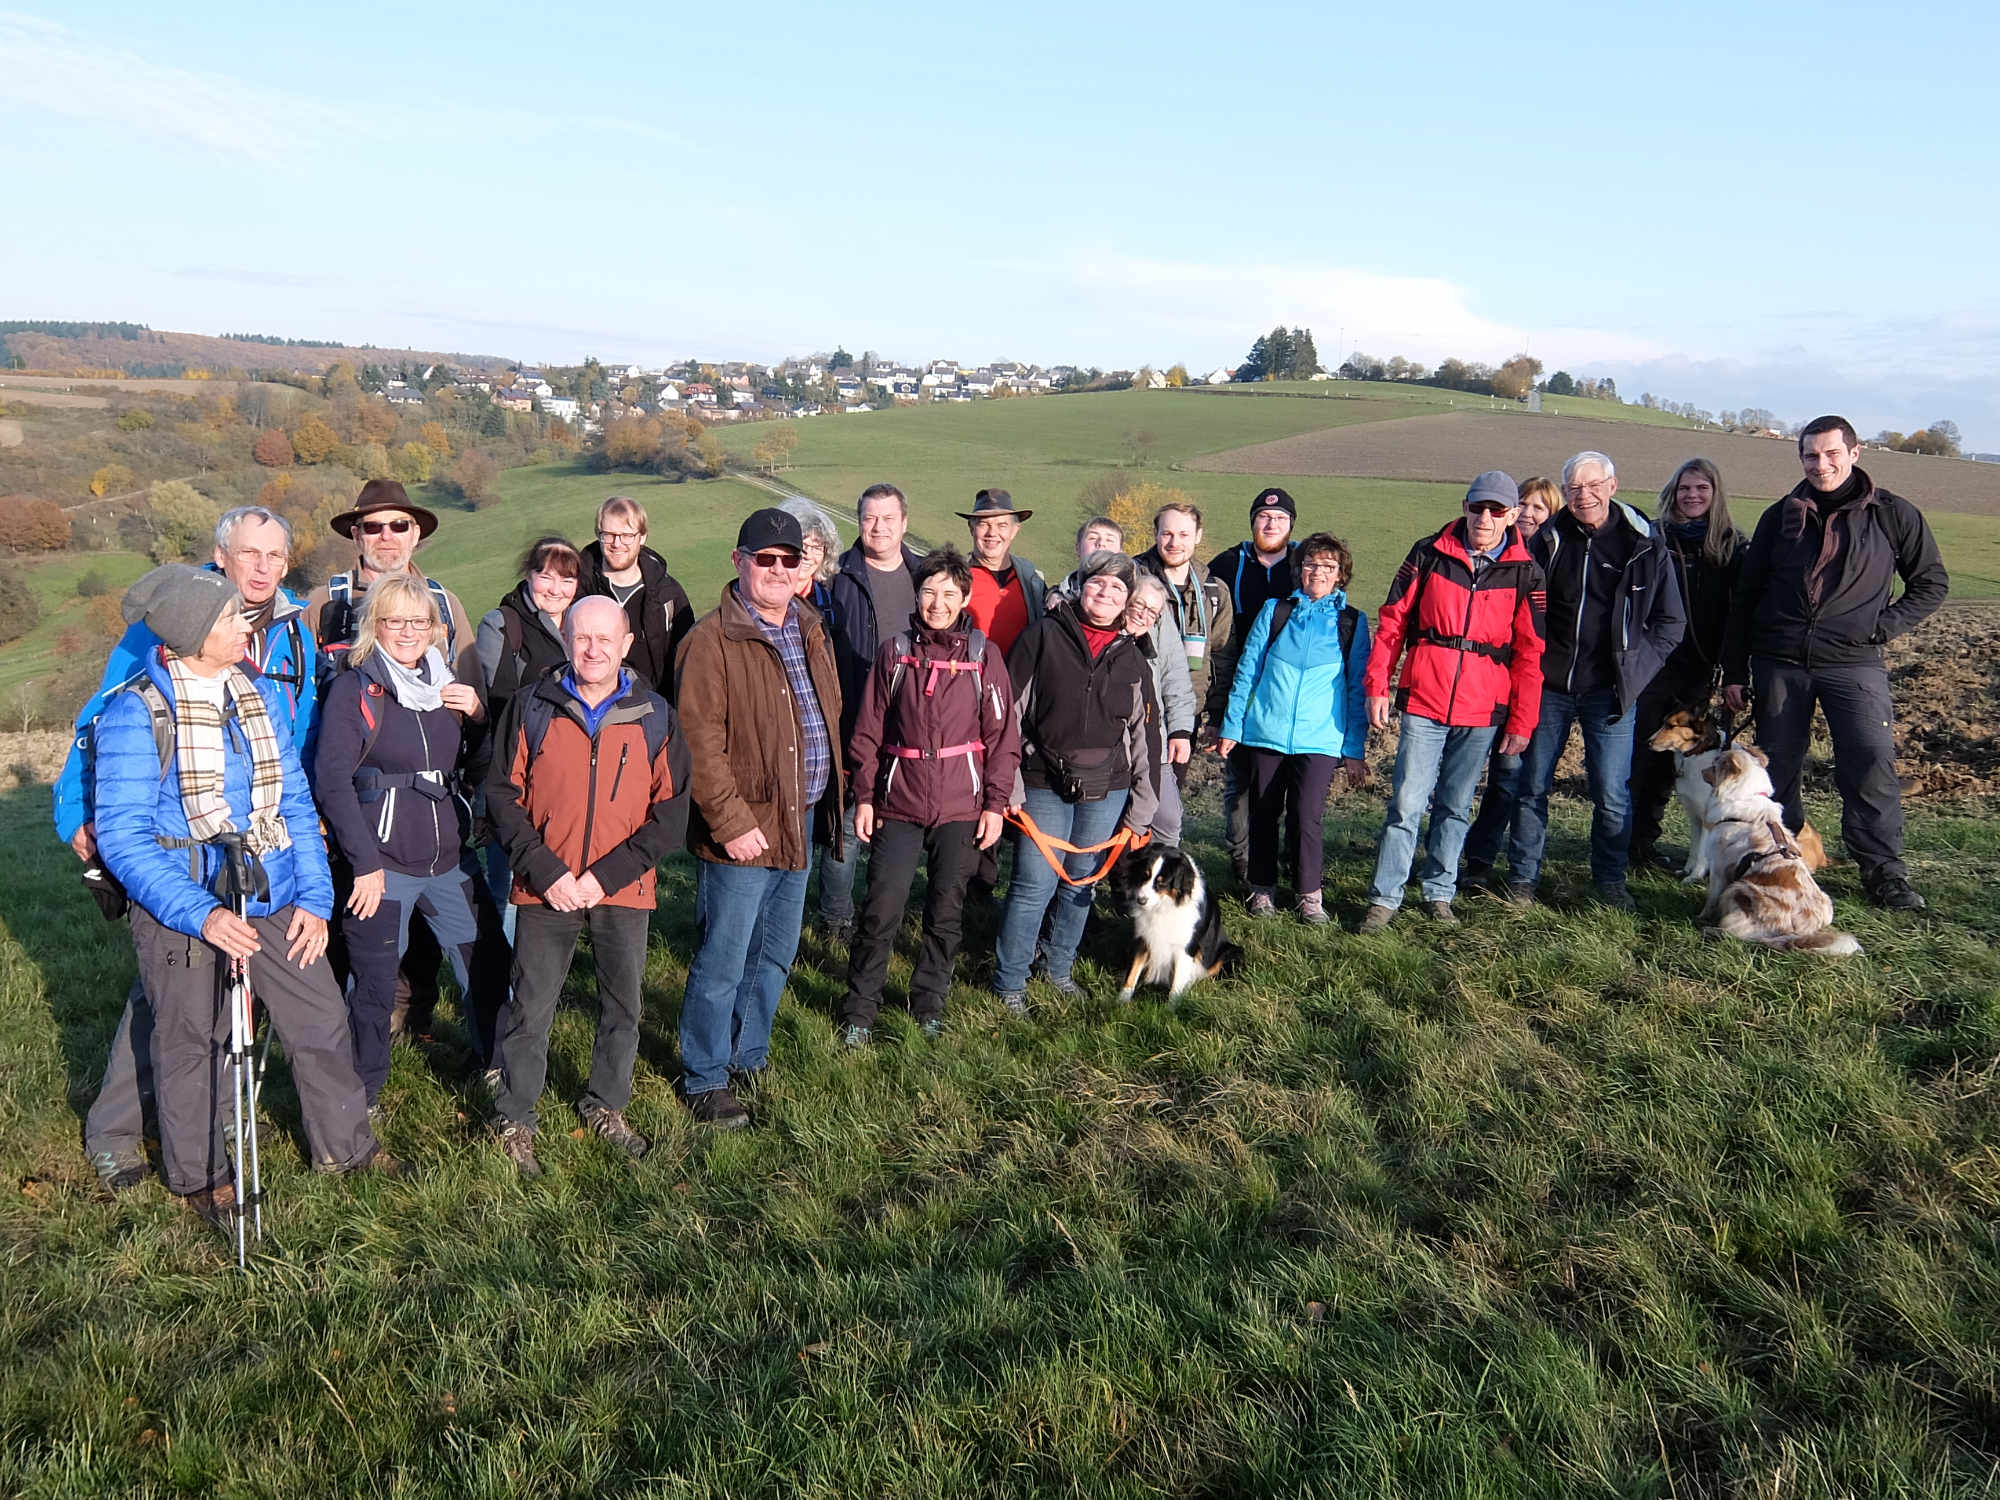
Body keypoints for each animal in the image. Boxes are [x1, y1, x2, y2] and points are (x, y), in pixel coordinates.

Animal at [1104, 852, 1240, 1004]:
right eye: (1145, 875)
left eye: (1162, 882)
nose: (1141, 901)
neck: (1165, 905)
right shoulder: (1143, 939)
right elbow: (1132, 972)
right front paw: (1121, 1001)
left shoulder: (1185, 947)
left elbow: (1177, 983)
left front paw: (1172, 1007)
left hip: (1232, 951)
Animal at [1648, 708, 1824, 888]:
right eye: (1664, 723)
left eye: (1671, 726)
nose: (1648, 742)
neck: (1699, 753)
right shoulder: (1694, 817)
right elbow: (1694, 850)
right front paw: (1686, 870)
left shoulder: (1708, 820)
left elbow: (1702, 854)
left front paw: (1694, 876)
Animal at [1696, 744, 1864, 956]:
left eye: (1714, 765)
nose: (1701, 771)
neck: (1747, 796)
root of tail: (1796, 932)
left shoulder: (1719, 868)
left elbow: (1711, 899)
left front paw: (1702, 916)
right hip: (1827, 902)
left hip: (1738, 888)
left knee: (1736, 933)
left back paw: (1711, 930)